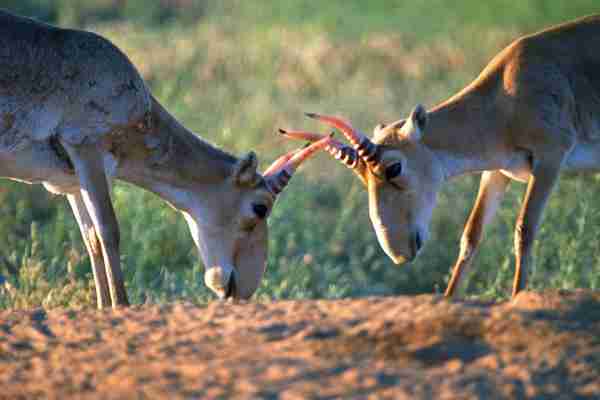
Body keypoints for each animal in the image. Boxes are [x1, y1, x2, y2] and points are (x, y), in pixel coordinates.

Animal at [0, 9, 328, 310]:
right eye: (261, 207)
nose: (244, 289)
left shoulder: (69, 180)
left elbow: (91, 240)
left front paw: (103, 308)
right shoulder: (85, 147)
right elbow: (109, 231)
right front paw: (122, 306)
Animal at [282, 15, 600, 296]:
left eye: (394, 167)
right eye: (363, 179)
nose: (399, 252)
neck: (506, 94)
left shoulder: (550, 158)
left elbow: (525, 231)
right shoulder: (497, 170)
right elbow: (471, 236)